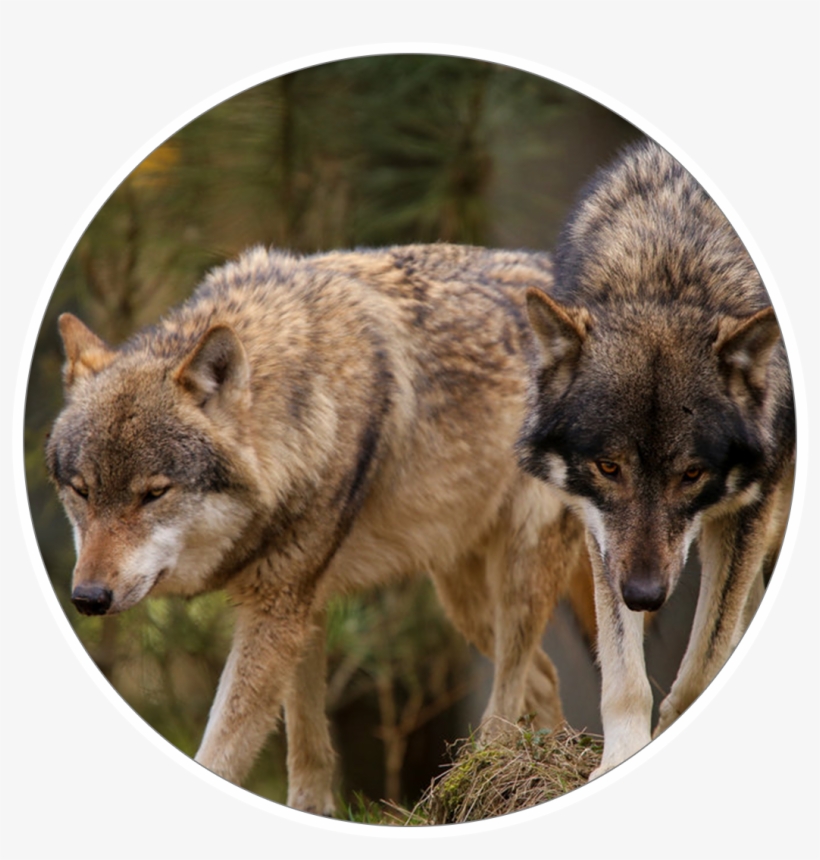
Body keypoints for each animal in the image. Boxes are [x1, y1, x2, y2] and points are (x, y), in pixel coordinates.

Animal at [46, 243, 591, 814]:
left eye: (154, 493)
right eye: (81, 491)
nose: (88, 598)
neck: (304, 402)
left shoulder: (278, 607)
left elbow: (223, 750)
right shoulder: (302, 604)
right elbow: (306, 739)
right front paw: (313, 810)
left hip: (520, 570)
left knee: (517, 680)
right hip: (462, 598)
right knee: (544, 675)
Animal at [517, 140, 796, 778]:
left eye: (691, 474)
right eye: (608, 467)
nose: (644, 596)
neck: (671, 269)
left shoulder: (752, 504)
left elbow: (702, 663)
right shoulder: (601, 532)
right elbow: (623, 672)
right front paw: (621, 757)